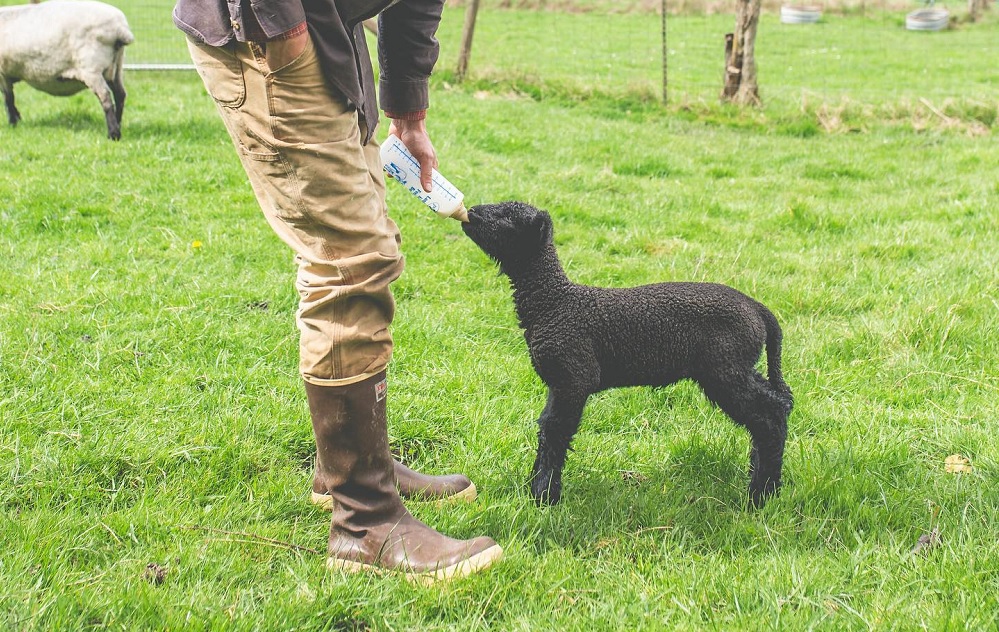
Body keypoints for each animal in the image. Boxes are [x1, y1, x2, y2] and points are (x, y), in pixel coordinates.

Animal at [0, 0, 134, 140]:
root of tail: (120, 29)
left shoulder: (3, 74)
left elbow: (8, 99)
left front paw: (13, 124)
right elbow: (9, 99)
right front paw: (17, 120)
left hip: (91, 68)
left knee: (105, 97)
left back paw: (113, 134)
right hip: (117, 67)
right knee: (120, 95)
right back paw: (118, 125)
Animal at [462, 201, 793, 509]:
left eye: (508, 216)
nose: (472, 212)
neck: (554, 302)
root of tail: (758, 310)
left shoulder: (574, 377)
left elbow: (556, 433)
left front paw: (544, 496)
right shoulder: (559, 383)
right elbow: (546, 429)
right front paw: (536, 488)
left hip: (725, 368)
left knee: (770, 414)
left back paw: (760, 494)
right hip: (738, 366)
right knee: (780, 402)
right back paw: (765, 482)